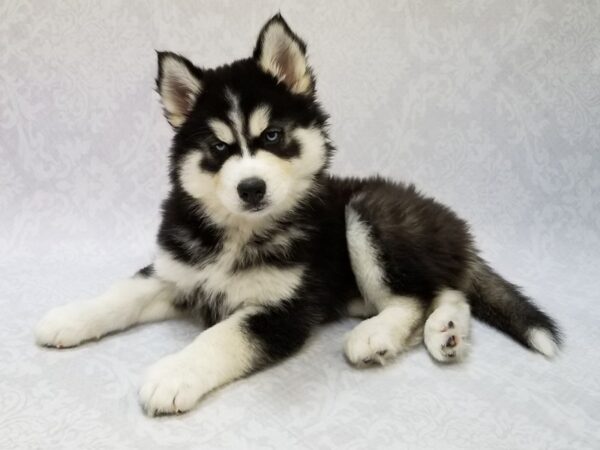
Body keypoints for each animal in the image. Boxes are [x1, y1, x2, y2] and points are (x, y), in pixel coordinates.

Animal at [35, 14, 560, 414]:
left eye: (272, 136)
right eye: (219, 148)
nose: (251, 187)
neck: (238, 233)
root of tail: (448, 220)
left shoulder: (284, 310)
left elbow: (222, 337)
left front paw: (173, 374)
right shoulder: (176, 273)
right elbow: (120, 294)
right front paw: (69, 317)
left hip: (367, 216)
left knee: (415, 297)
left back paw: (378, 336)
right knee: (448, 292)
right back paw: (445, 333)